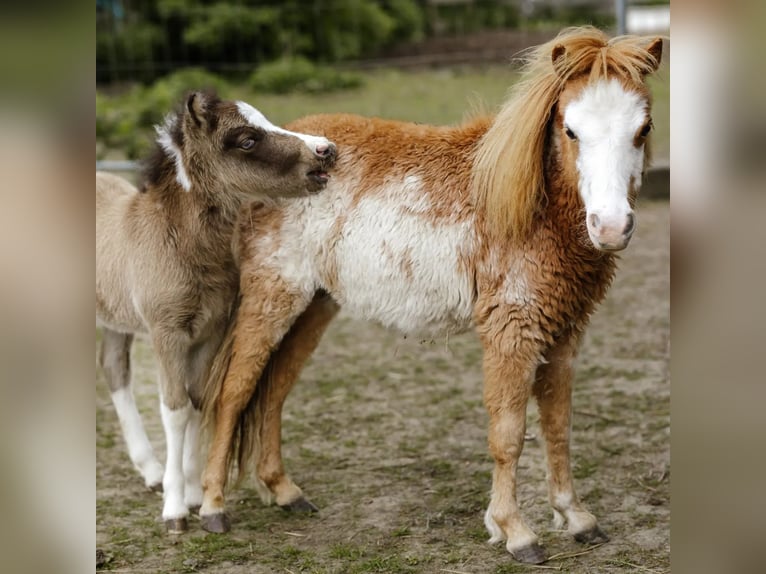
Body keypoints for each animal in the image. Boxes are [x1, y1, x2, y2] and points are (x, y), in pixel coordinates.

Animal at [96, 90, 336, 536]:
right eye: (246, 140)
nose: (326, 150)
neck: (179, 243)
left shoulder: (209, 330)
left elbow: (196, 402)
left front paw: (193, 494)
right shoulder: (168, 334)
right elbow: (174, 410)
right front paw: (175, 511)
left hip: (115, 317)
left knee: (114, 367)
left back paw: (150, 471)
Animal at [201, 27, 664, 564]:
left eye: (644, 127)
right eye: (571, 131)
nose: (610, 228)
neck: (529, 208)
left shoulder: (565, 332)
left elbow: (558, 427)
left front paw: (576, 517)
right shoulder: (510, 332)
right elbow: (509, 434)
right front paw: (515, 531)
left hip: (314, 307)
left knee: (273, 392)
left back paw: (284, 492)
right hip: (273, 297)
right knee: (234, 393)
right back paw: (212, 507)